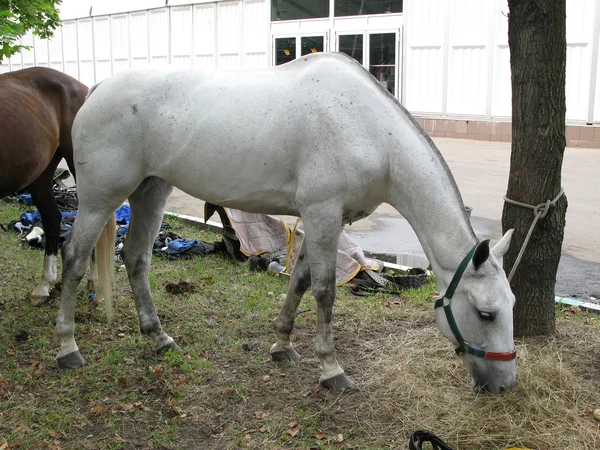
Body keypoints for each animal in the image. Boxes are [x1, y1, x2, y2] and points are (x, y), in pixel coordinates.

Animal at [56, 52, 516, 394]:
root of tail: (98, 89)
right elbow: (325, 291)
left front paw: (282, 345)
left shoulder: (325, 218)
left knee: (136, 258)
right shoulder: (324, 212)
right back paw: (68, 348)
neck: (369, 131)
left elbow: (299, 279)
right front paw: (331, 370)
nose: (504, 385)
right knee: (73, 258)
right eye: (486, 314)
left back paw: (158, 338)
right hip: (100, 199)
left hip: (151, 192)